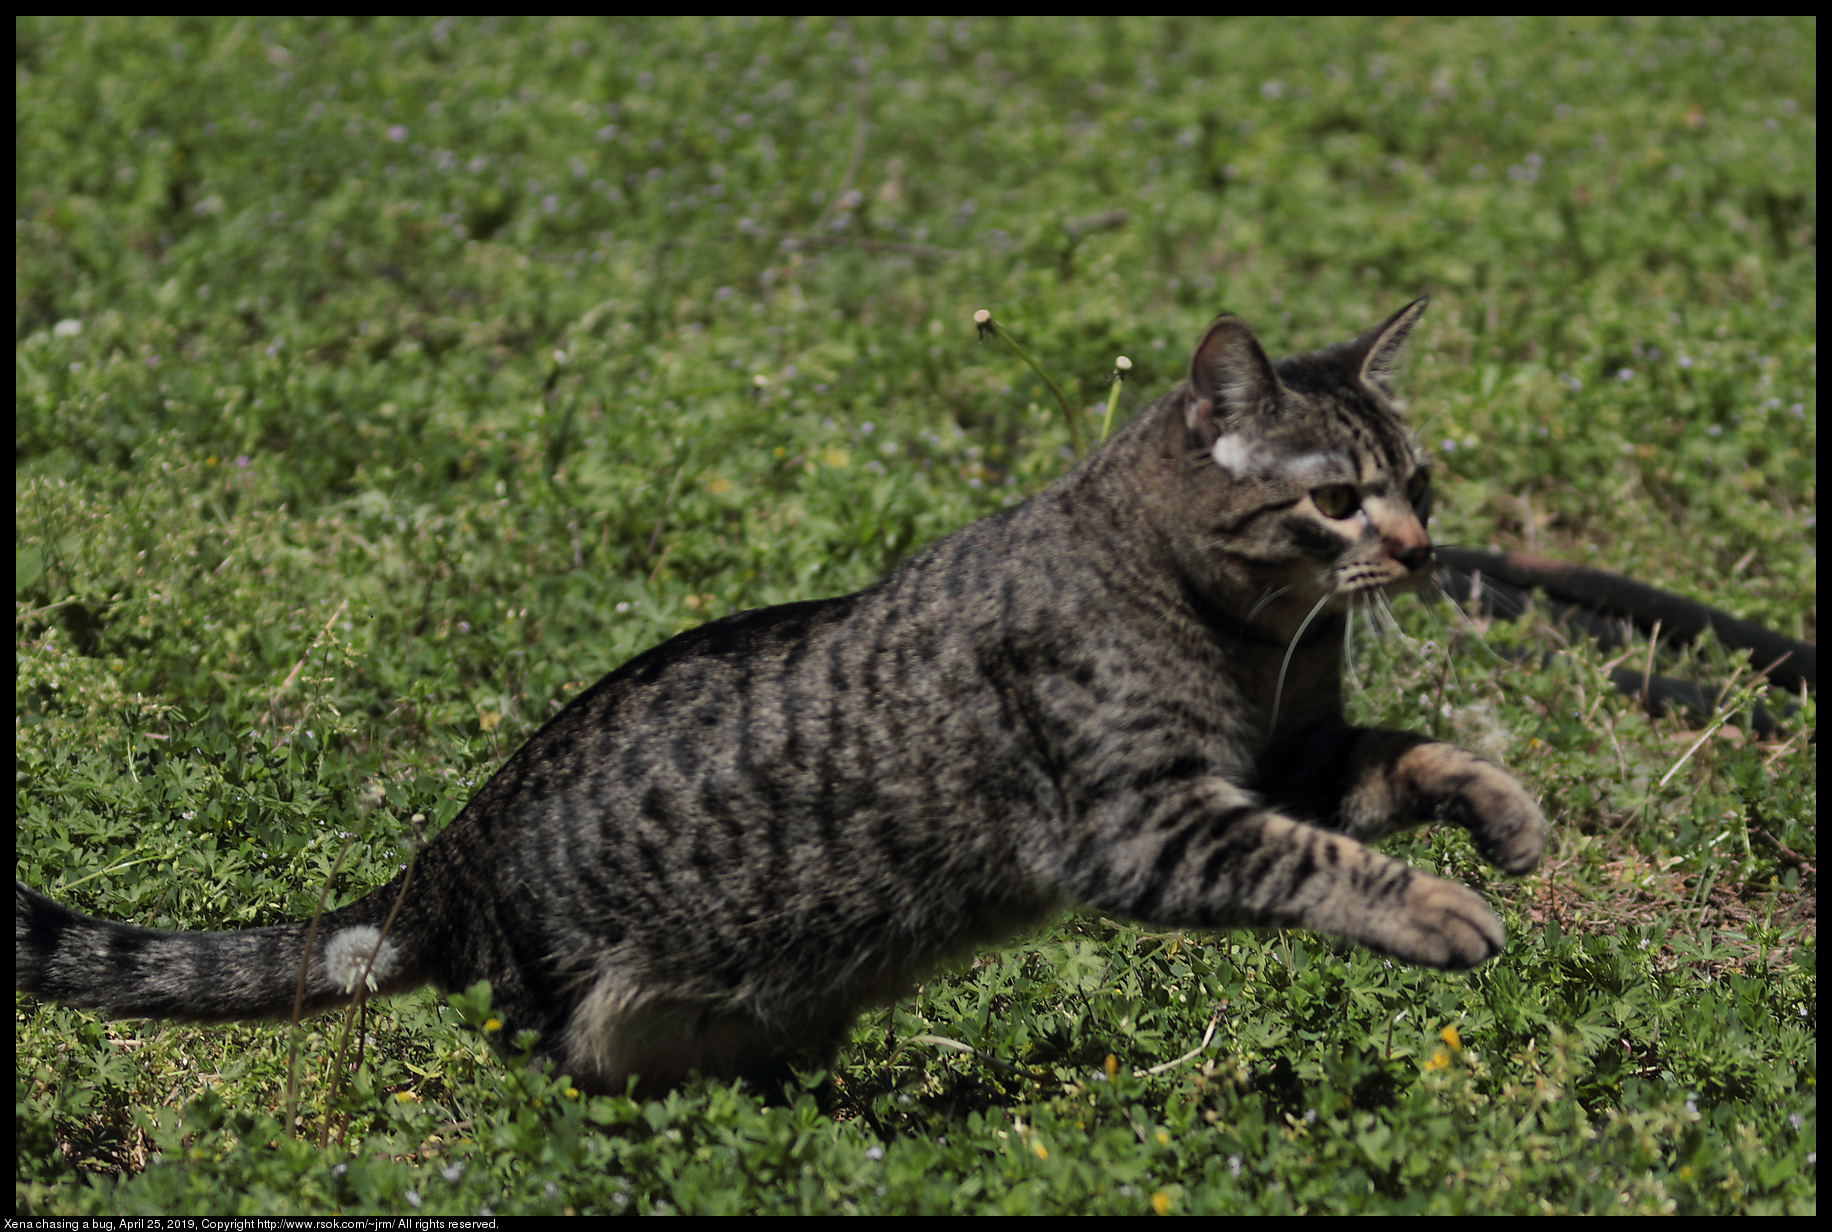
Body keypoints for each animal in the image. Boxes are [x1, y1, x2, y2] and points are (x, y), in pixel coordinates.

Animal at [17, 298, 1546, 1100]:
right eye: (1338, 500)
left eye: (1421, 482)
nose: (1418, 550)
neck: (1251, 639)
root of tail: (441, 859)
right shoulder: (1146, 820)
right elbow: (1323, 861)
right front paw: (1438, 910)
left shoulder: (1291, 757)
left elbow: (1414, 757)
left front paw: (1506, 817)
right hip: (575, 1027)